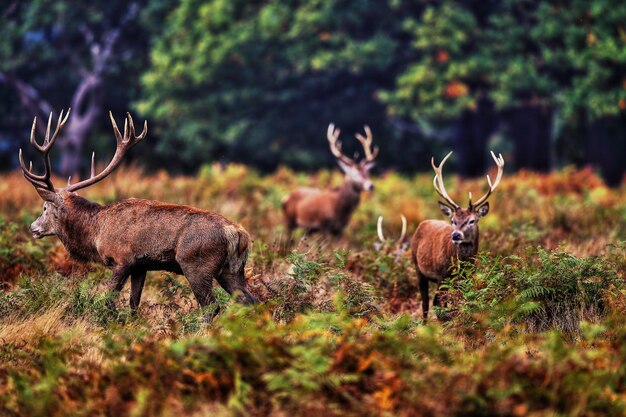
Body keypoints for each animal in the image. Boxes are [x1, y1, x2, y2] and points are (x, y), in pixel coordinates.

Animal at [20, 109, 256, 314]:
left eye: (44, 208)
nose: (32, 227)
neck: (96, 233)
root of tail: (238, 234)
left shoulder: (122, 260)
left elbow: (107, 300)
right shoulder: (140, 267)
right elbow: (134, 304)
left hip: (196, 265)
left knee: (211, 307)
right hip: (233, 269)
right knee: (250, 300)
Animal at [410, 150, 502, 318]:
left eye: (472, 220)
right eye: (453, 220)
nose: (456, 235)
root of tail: (422, 223)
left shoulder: (467, 278)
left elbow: (460, 303)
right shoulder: (441, 275)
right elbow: (439, 305)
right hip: (417, 267)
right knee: (426, 303)